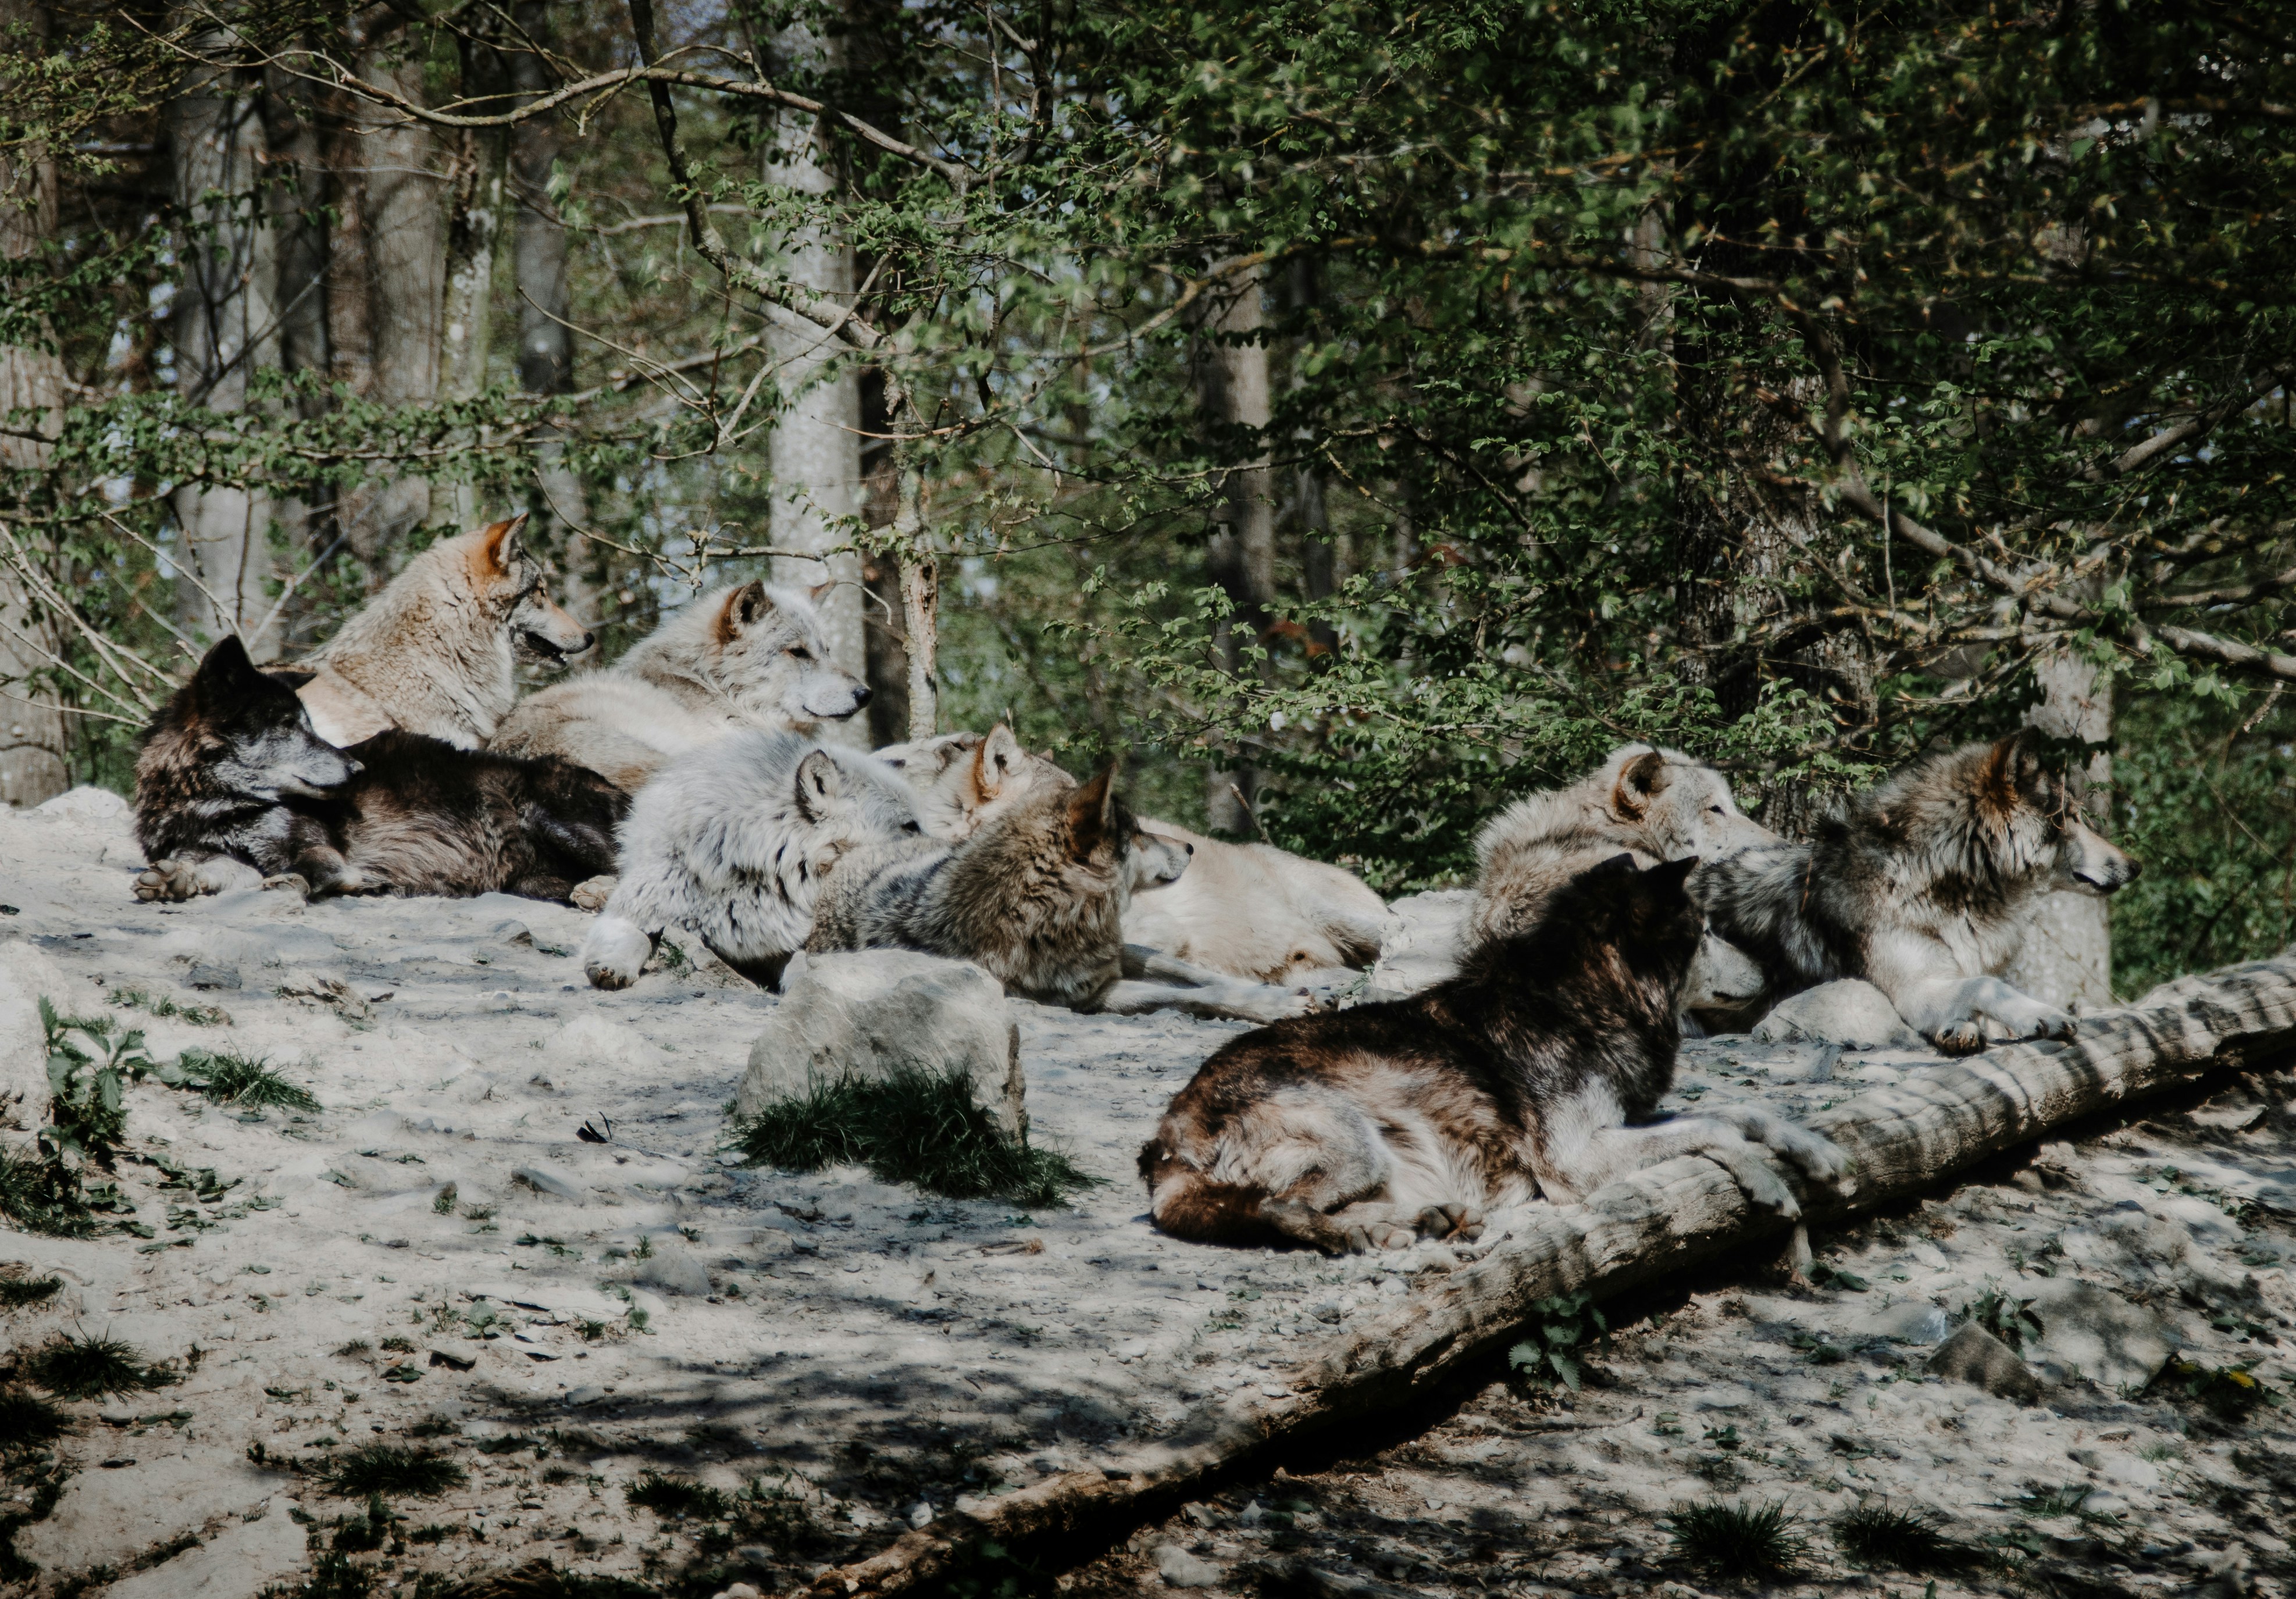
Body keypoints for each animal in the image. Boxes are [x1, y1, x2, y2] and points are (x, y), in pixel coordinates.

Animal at [133, 637, 625, 903]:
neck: (213, 805)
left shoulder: (319, 851)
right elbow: (213, 870)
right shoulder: (217, 851)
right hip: (531, 882)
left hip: (549, 816)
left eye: (309, 723)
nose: (357, 768)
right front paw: (176, 881)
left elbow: (305, 873)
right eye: (289, 725)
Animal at [580, 731, 922, 990]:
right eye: (910, 826)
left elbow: (801, 963)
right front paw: (612, 966)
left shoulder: (785, 942)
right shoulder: (638, 910)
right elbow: (634, 937)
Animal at [1138, 855, 1852, 1254]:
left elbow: (1741, 1110)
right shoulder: (1574, 1162)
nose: (1771, 971)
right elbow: (1716, 1127)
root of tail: (1167, 1137)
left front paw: (1815, 1148)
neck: (1576, 1003)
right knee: (1280, 1208)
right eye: (1705, 933)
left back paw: (1426, 1221)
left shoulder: (1618, 1121)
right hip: (1350, 1133)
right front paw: (1765, 1182)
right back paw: (1369, 1236)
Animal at [1695, 734, 2141, 1055]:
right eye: (2070, 819)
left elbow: (1976, 996)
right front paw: (2043, 1014)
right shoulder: (1914, 991)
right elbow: (1987, 986)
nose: (2135, 866)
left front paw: (1959, 1028)